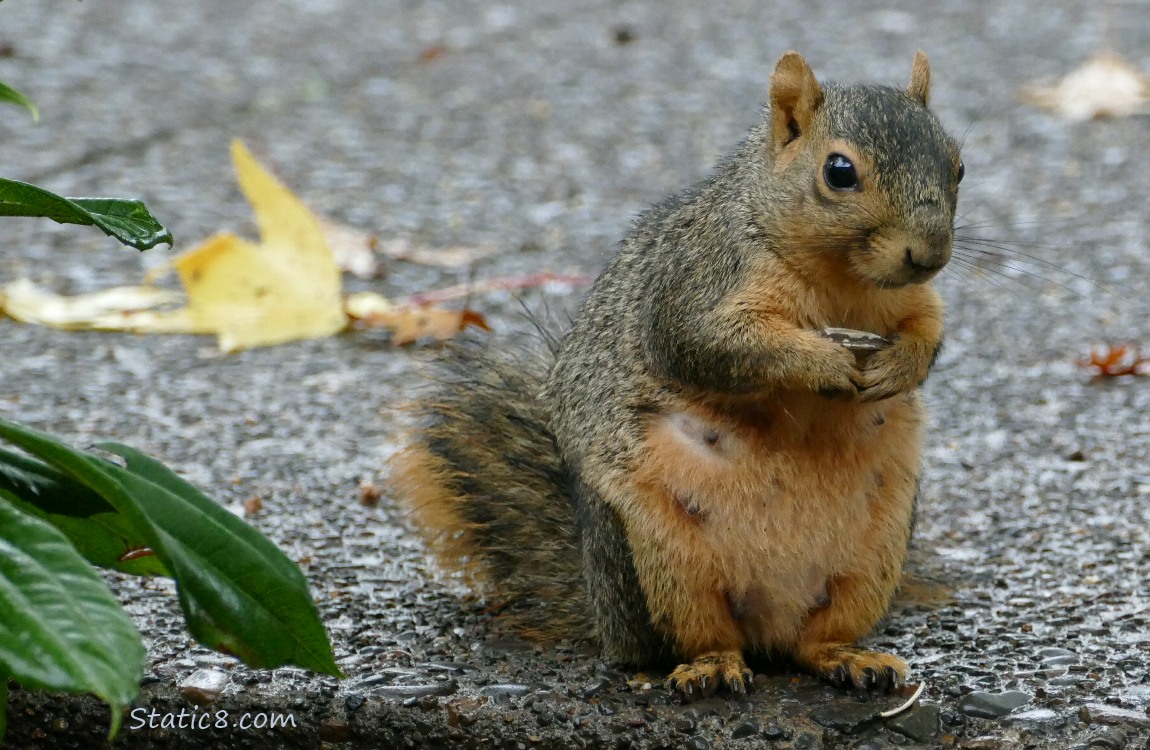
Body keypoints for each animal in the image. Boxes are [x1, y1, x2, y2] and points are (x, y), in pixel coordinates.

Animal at [391, 51, 966, 699]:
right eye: (839, 172)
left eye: (958, 165)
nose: (930, 253)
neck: (846, 282)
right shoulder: (698, 283)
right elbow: (712, 346)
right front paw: (826, 362)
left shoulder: (916, 300)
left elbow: (927, 333)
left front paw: (900, 364)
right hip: (656, 560)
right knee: (689, 639)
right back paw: (711, 668)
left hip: (874, 555)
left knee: (812, 644)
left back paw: (850, 658)